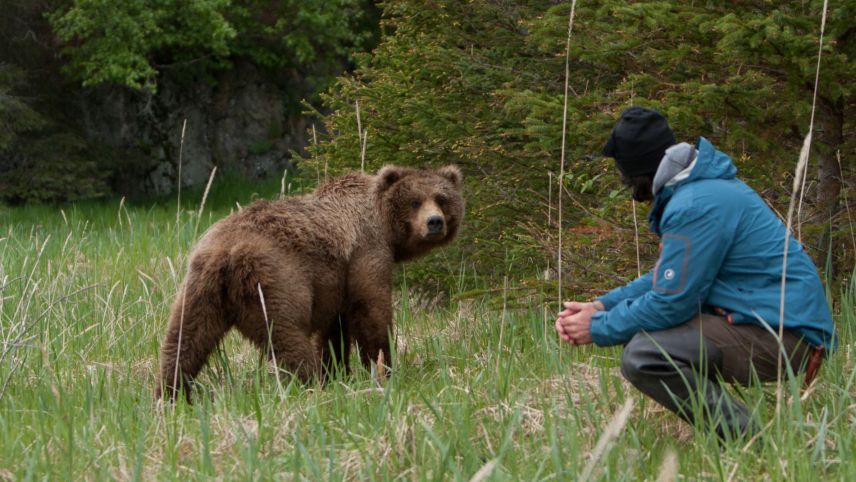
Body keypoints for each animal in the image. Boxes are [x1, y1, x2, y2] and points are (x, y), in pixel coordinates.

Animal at [156, 164, 464, 401]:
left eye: (441, 198)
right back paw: (311, 385)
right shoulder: (366, 252)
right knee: (287, 336)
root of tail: (225, 253)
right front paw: (382, 369)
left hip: (200, 288)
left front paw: (338, 371)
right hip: (275, 280)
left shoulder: (336, 280)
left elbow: (334, 330)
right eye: (415, 201)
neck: (383, 224)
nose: (434, 222)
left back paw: (170, 394)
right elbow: (371, 310)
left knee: (184, 339)